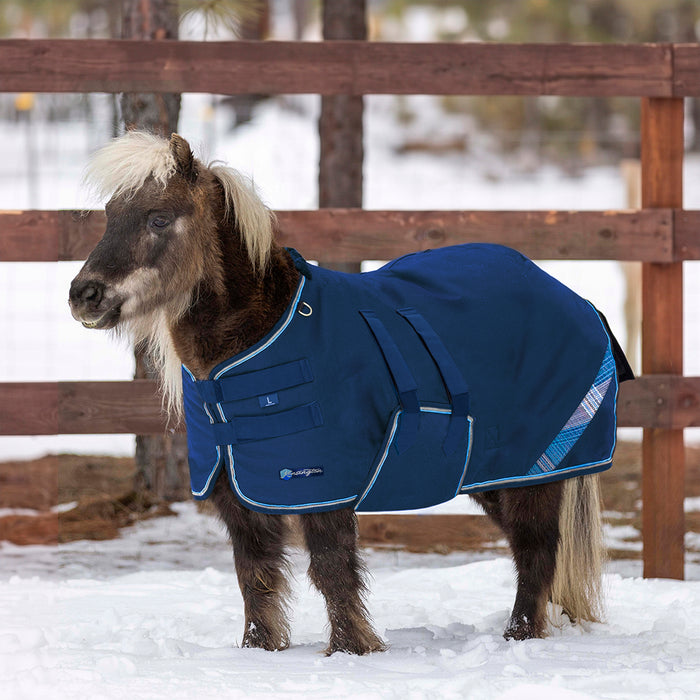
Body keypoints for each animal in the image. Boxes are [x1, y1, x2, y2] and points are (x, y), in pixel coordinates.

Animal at [69, 131, 624, 655]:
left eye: (159, 218)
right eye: (110, 214)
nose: (84, 296)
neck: (254, 344)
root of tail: (571, 297)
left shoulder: (324, 487)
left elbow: (331, 570)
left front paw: (350, 650)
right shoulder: (236, 490)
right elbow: (255, 573)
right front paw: (258, 651)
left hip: (533, 472)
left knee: (535, 550)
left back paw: (518, 637)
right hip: (496, 473)